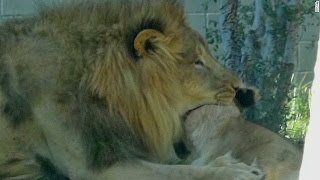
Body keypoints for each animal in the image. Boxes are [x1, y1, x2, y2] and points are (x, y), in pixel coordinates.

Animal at [0, 0, 264, 179]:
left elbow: (181, 166)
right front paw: (233, 172)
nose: (243, 92)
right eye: (198, 62)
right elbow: (178, 172)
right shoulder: (93, 169)